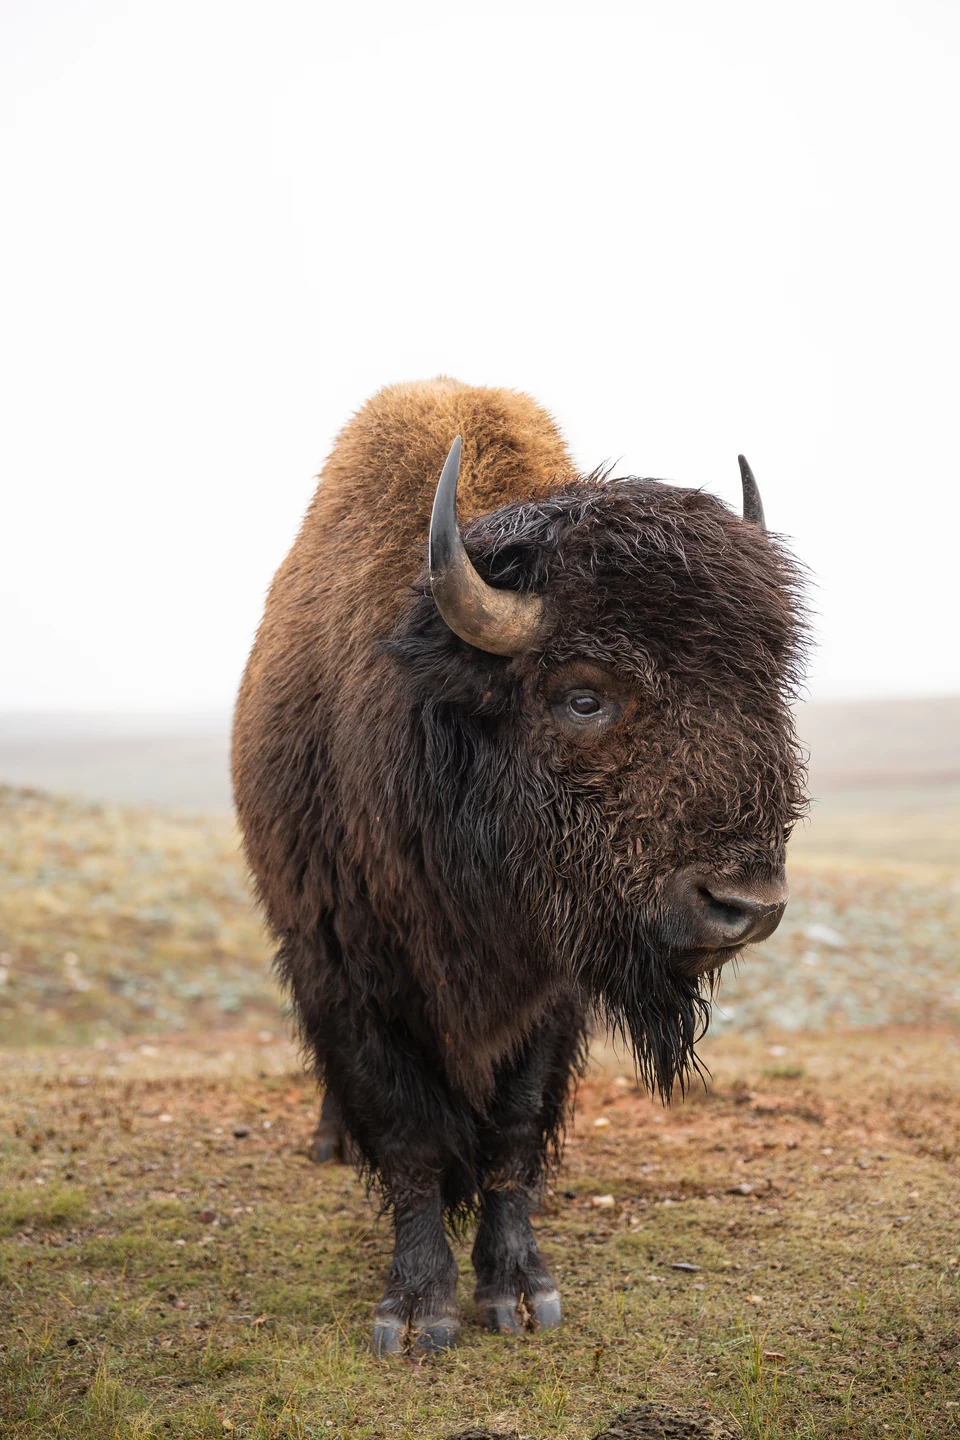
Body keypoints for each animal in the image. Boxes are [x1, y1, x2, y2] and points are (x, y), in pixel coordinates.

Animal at [232, 378, 807, 1355]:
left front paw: (517, 1294)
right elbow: (410, 1135)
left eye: (762, 692)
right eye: (583, 696)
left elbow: (509, 1135)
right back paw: (330, 1143)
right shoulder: (346, 966)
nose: (746, 904)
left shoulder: (551, 989)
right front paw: (416, 1313)